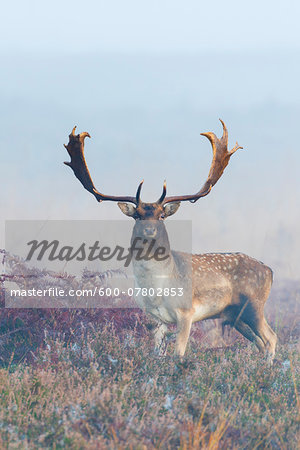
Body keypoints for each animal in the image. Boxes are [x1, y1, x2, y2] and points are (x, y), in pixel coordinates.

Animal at [64, 120, 278, 362]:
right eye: (137, 215)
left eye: (161, 215)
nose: (149, 229)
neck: (157, 289)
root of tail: (269, 271)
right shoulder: (154, 319)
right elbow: (157, 354)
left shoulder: (186, 312)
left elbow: (179, 353)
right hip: (235, 316)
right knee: (260, 342)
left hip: (254, 305)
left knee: (271, 338)